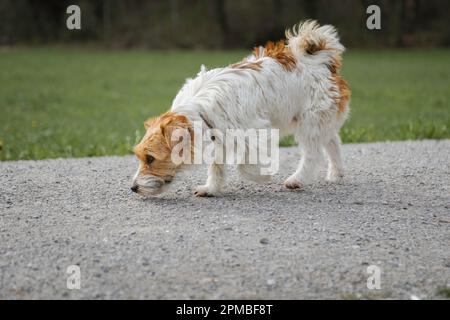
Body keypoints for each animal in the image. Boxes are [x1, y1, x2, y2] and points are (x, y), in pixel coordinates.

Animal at [130, 20, 348, 198]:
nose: (133, 188)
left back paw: (297, 179)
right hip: (316, 121)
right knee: (332, 142)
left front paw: (262, 177)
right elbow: (217, 167)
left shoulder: (256, 132)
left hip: (310, 123)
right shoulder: (220, 138)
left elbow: (244, 166)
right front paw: (211, 188)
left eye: (150, 158)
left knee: (313, 154)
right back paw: (336, 173)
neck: (199, 111)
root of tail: (323, 61)